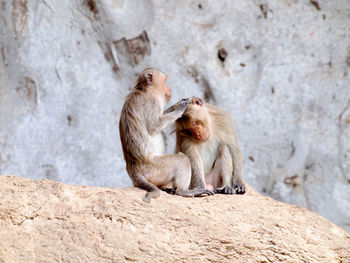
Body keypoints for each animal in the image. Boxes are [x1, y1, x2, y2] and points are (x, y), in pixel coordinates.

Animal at [118, 67, 213, 202]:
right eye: (164, 80)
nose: (169, 89)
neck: (144, 90)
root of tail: (133, 170)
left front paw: (179, 103)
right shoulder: (151, 103)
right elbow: (153, 127)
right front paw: (179, 108)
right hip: (155, 168)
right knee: (182, 159)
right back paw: (183, 191)